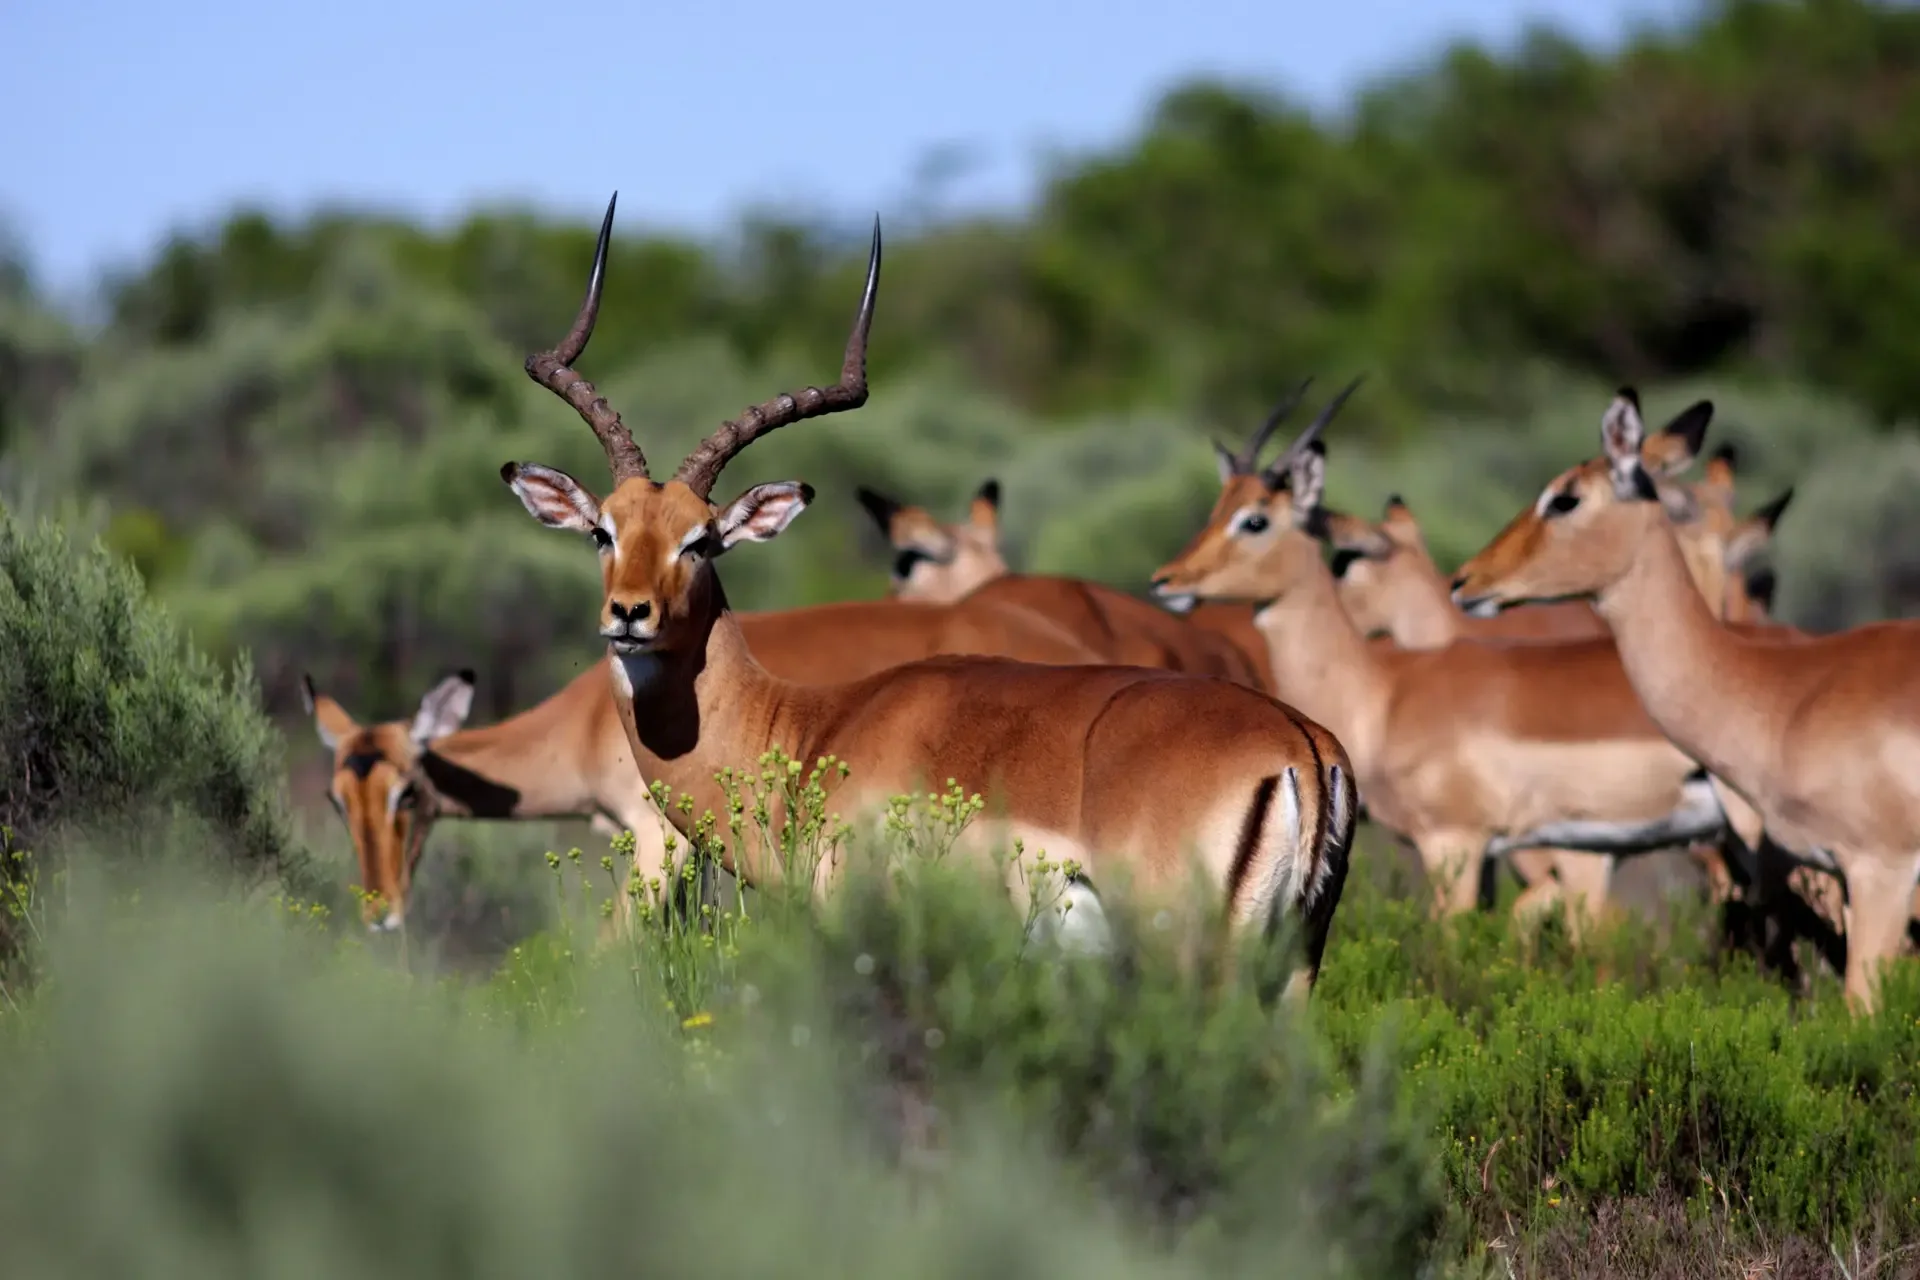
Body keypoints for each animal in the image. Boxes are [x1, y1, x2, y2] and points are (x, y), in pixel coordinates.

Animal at [497, 195, 1358, 997]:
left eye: (701, 540)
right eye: (603, 531)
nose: (629, 614)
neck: (806, 731)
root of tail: (1301, 750)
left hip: (1192, 963)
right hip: (1294, 970)